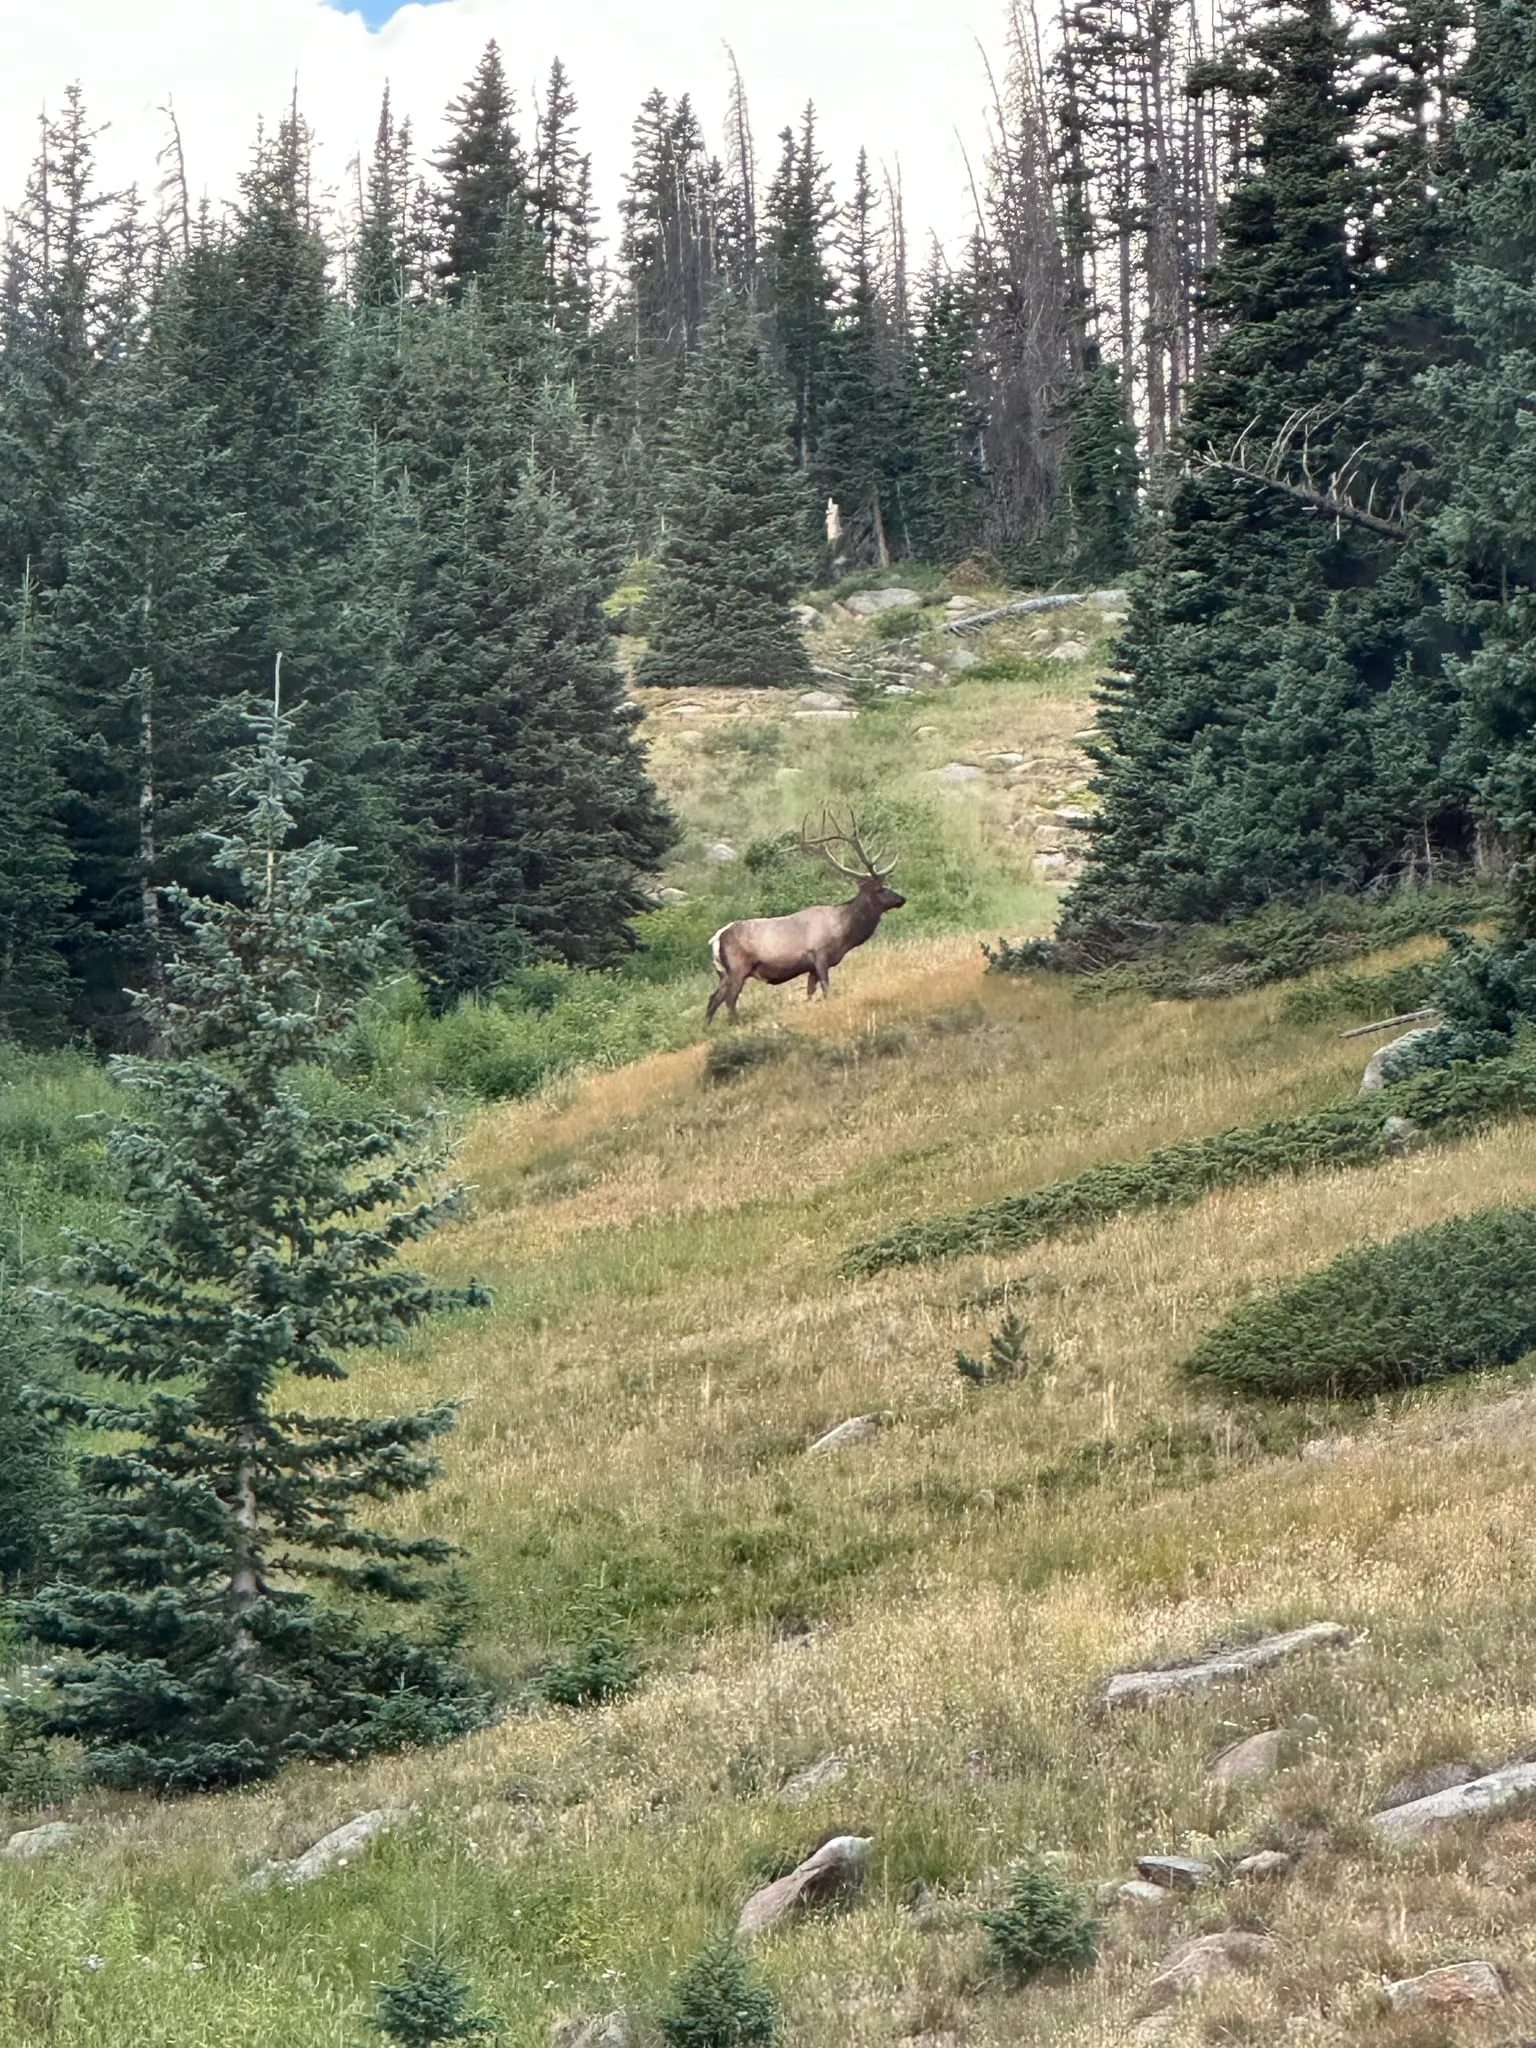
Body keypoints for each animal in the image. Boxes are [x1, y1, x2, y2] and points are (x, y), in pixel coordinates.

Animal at [706, 814, 906, 1024]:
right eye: (880, 888)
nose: (902, 898)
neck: (843, 932)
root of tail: (716, 939)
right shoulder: (820, 955)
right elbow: (827, 991)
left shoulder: (811, 967)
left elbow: (810, 993)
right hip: (738, 968)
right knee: (729, 999)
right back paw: (736, 1024)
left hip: (724, 973)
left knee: (713, 999)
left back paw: (707, 1027)